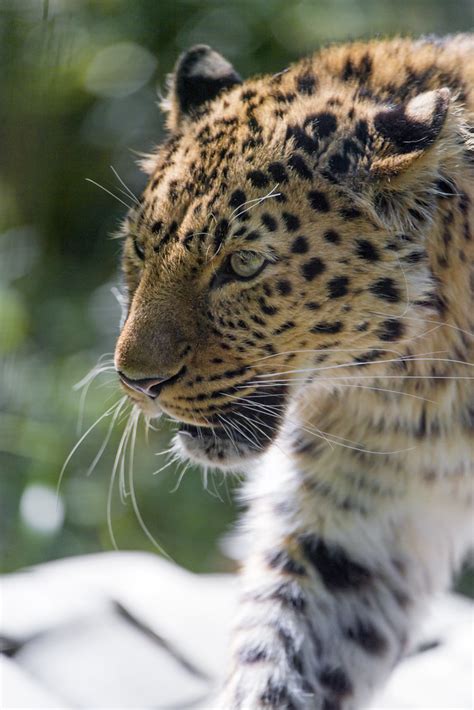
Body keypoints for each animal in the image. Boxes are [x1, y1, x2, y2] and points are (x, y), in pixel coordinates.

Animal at [113, 34, 472, 710]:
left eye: (244, 264)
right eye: (140, 250)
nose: (138, 382)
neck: (426, 386)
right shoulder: (363, 515)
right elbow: (285, 649)